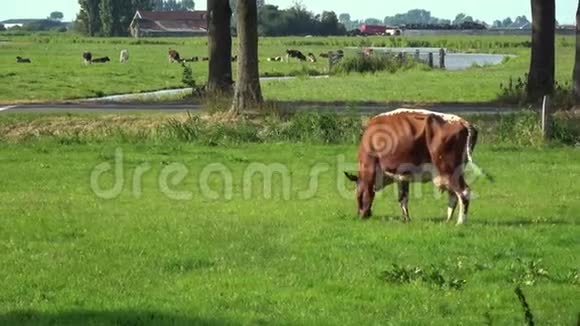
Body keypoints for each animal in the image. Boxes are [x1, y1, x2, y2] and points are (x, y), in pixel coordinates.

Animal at [344, 109, 490, 224]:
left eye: (357, 195)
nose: (361, 215)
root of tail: (463, 122)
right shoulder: (402, 176)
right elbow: (403, 198)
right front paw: (406, 219)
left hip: (448, 169)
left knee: (463, 192)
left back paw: (460, 222)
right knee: (453, 195)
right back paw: (447, 220)